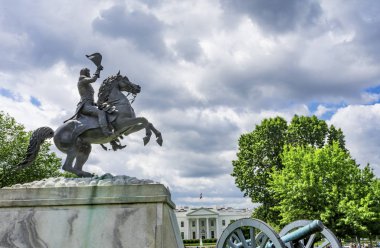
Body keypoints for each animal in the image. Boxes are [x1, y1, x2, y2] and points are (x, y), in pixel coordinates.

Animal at [18, 72, 163, 177]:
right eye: (125, 79)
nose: (138, 87)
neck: (117, 104)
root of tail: (54, 132)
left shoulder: (128, 129)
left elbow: (147, 122)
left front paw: (157, 138)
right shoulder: (123, 124)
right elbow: (144, 119)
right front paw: (148, 137)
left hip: (85, 148)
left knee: (76, 166)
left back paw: (88, 175)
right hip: (72, 148)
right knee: (67, 166)